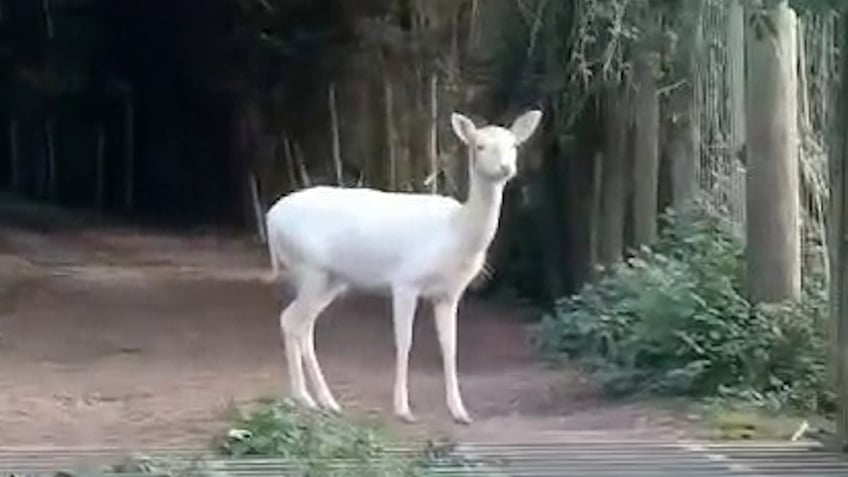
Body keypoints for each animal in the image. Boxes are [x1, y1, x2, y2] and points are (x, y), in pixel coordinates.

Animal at [264, 109, 544, 424]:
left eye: (514, 145)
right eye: (479, 145)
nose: (506, 168)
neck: (456, 233)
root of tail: (270, 219)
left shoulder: (449, 294)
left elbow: (450, 346)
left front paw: (460, 411)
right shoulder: (405, 281)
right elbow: (404, 340)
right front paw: (403, 409)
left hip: (330, 279)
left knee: (299, 322)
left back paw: (320, 400)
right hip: (309, 267)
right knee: (293, 320)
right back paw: (309, 398)